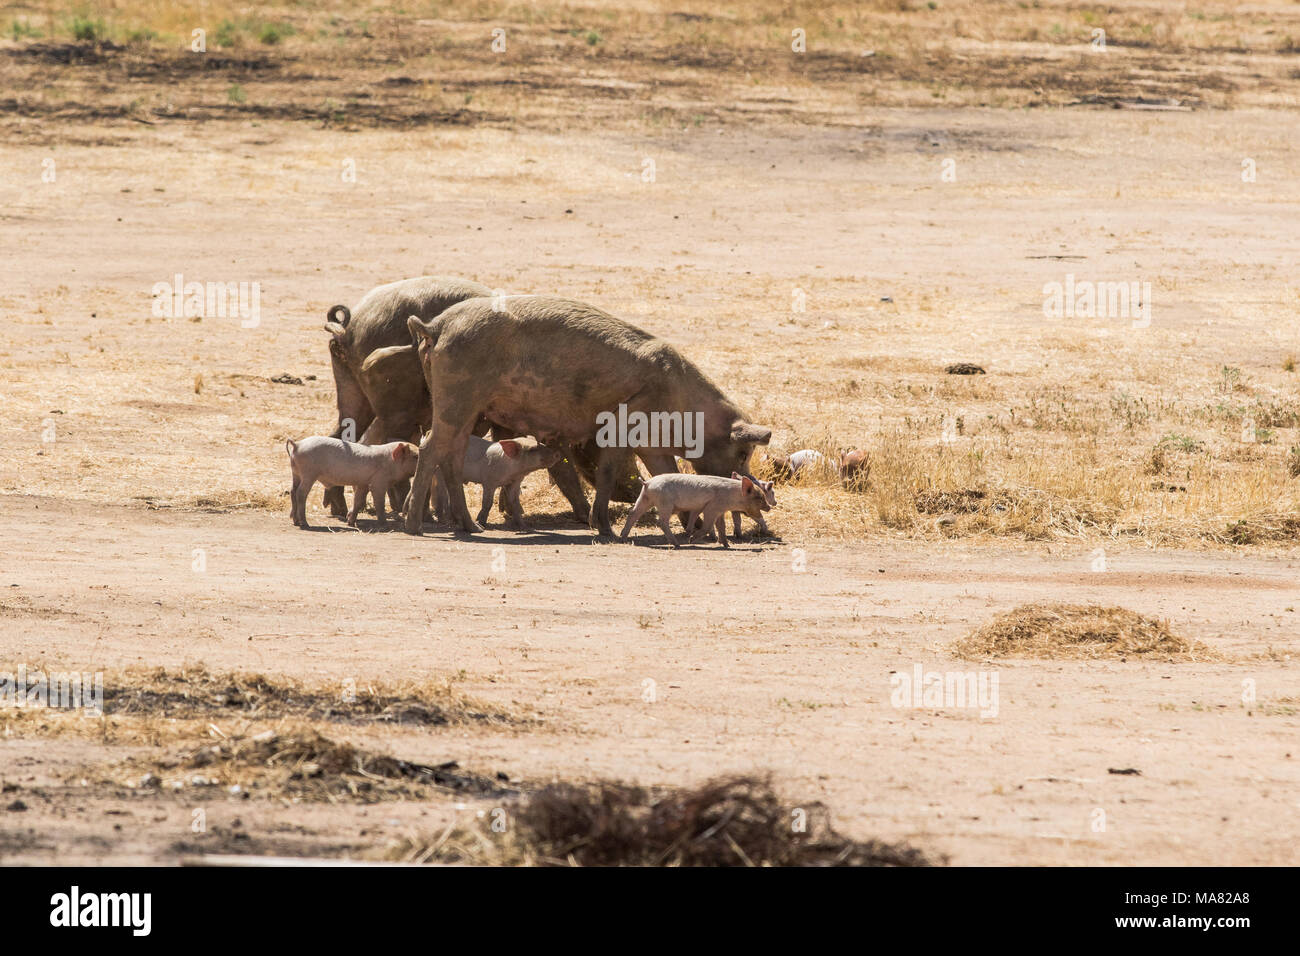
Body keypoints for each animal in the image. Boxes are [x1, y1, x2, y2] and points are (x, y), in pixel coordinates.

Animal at [405, 295, 769, 538]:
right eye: (743, 452)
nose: (749, 483)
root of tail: (434, 325)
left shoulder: (651, 444)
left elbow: (666, 472)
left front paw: (693, 529)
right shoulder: (625, 422)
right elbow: (607, 473)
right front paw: (605, 530)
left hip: (461, 404)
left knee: (451, 454)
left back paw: (470, 527)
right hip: (458, 397)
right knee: (430, 448)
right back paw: (414, 528)